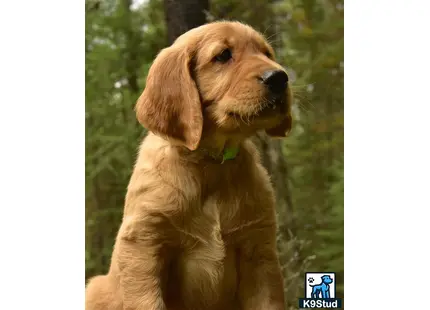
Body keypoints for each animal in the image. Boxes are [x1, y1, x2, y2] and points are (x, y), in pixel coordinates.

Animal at [86, 20, 296, 308]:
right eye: (223, 55)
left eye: (267, 53)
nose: (280, 78)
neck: (212, 162)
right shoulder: (143, 245)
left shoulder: (259, 251)